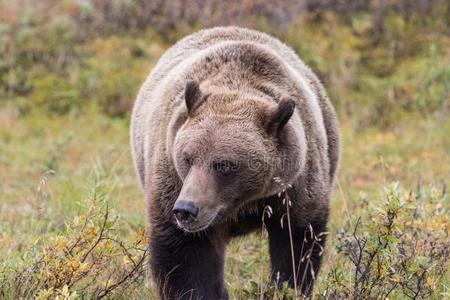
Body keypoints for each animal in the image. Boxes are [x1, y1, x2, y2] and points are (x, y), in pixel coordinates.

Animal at [132, 27, 340, 298]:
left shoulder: (296, 187)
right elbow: (183, 258)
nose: (186, 209)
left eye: (225, 165)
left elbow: (297, 246)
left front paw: (288, 287)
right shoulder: (171, 181)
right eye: (187, 158)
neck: (243, 202)